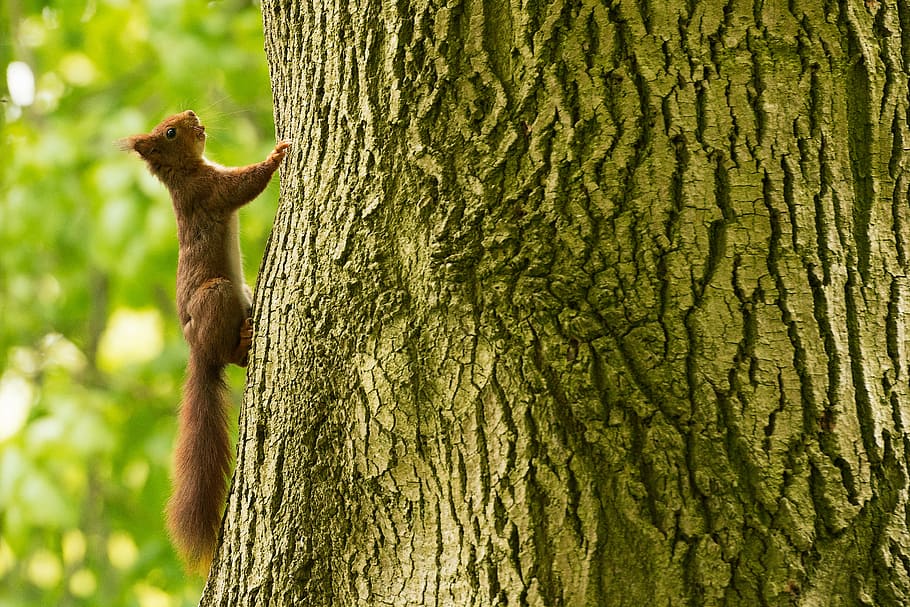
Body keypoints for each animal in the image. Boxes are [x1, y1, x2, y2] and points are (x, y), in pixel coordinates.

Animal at [121, 110, 289, 573]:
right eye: (170, 132)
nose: (193, 114)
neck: (184, 174)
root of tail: (197, 350)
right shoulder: (210, 191)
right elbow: (245, 186)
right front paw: (276, 154)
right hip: (218, 294)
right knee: (229, 356)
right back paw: (243, 342)